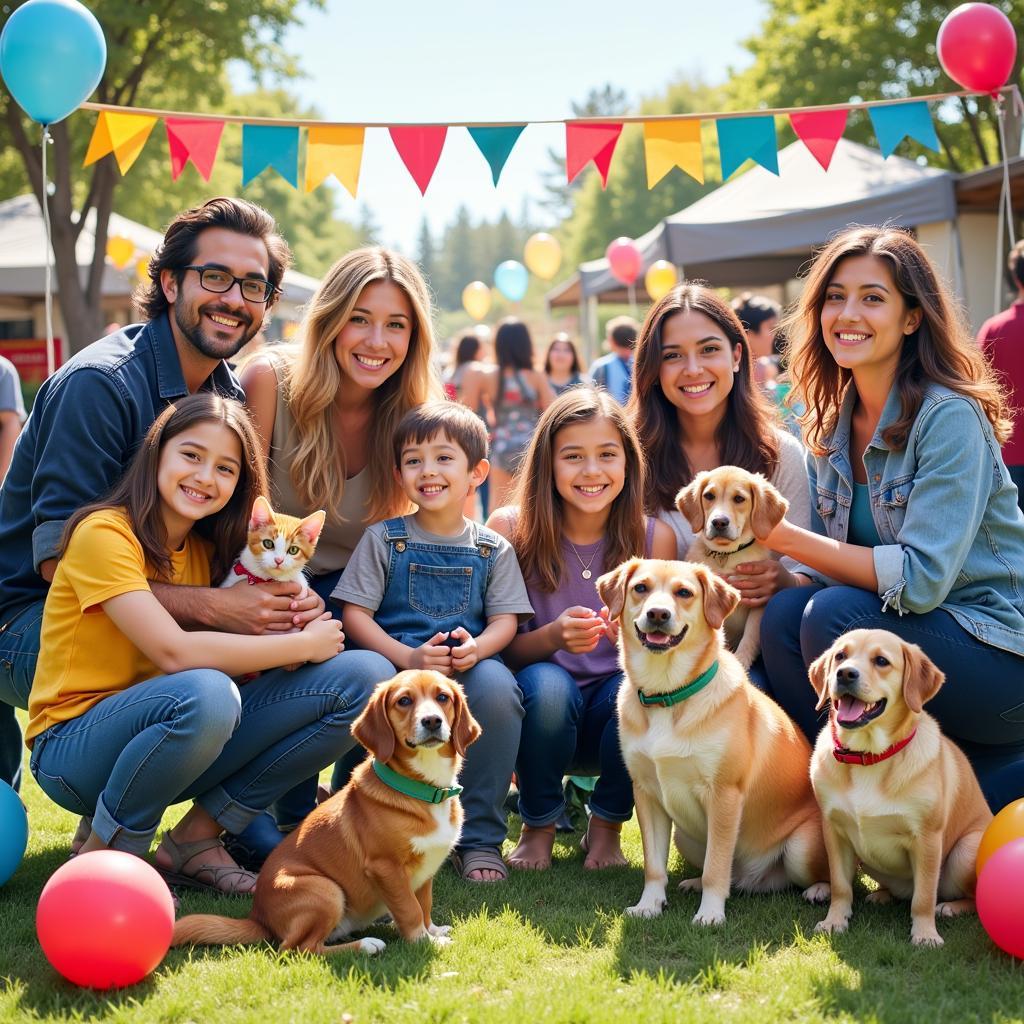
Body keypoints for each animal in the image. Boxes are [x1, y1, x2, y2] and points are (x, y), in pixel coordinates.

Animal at [172, 671, 479, 950]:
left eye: (443, 697)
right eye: (404, 700)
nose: (432, 720)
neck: (426, 789)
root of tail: (259, 918)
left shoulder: (426, 871)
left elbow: (424, 904)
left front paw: (433, 930)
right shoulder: (386, 868)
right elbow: (409, 908)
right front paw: (424, 941)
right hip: (325, 889)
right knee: (299, 949)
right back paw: (366, 945)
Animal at [598, 561, 827, 929]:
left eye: (684, 592)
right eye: (640, 588)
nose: (658, 614)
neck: (668, 694)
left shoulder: (724, 796)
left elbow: (716, 867)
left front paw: (710, 912)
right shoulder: (646, 794)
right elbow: (654, 866)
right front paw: (649, 904)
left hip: (801, 848)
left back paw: (820, 890)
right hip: (685, 836)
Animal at [675, 466, 786, 671]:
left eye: (739, 499)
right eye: (709, 496)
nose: (719, 522)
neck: (727, 555)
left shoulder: (758, 603)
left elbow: (750, 636)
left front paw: (741, 661)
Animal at [806, 626, 991, 946]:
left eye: (881, 661)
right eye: (840, 655)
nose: (845, 673)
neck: (868, 756)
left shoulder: (927, 839)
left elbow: (924, 897)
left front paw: (925, 933)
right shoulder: (834, 831)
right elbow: (841, 884)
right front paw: (834, 920)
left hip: (965, 850)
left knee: (967, 896)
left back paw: (950, 907)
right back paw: (874, 894)